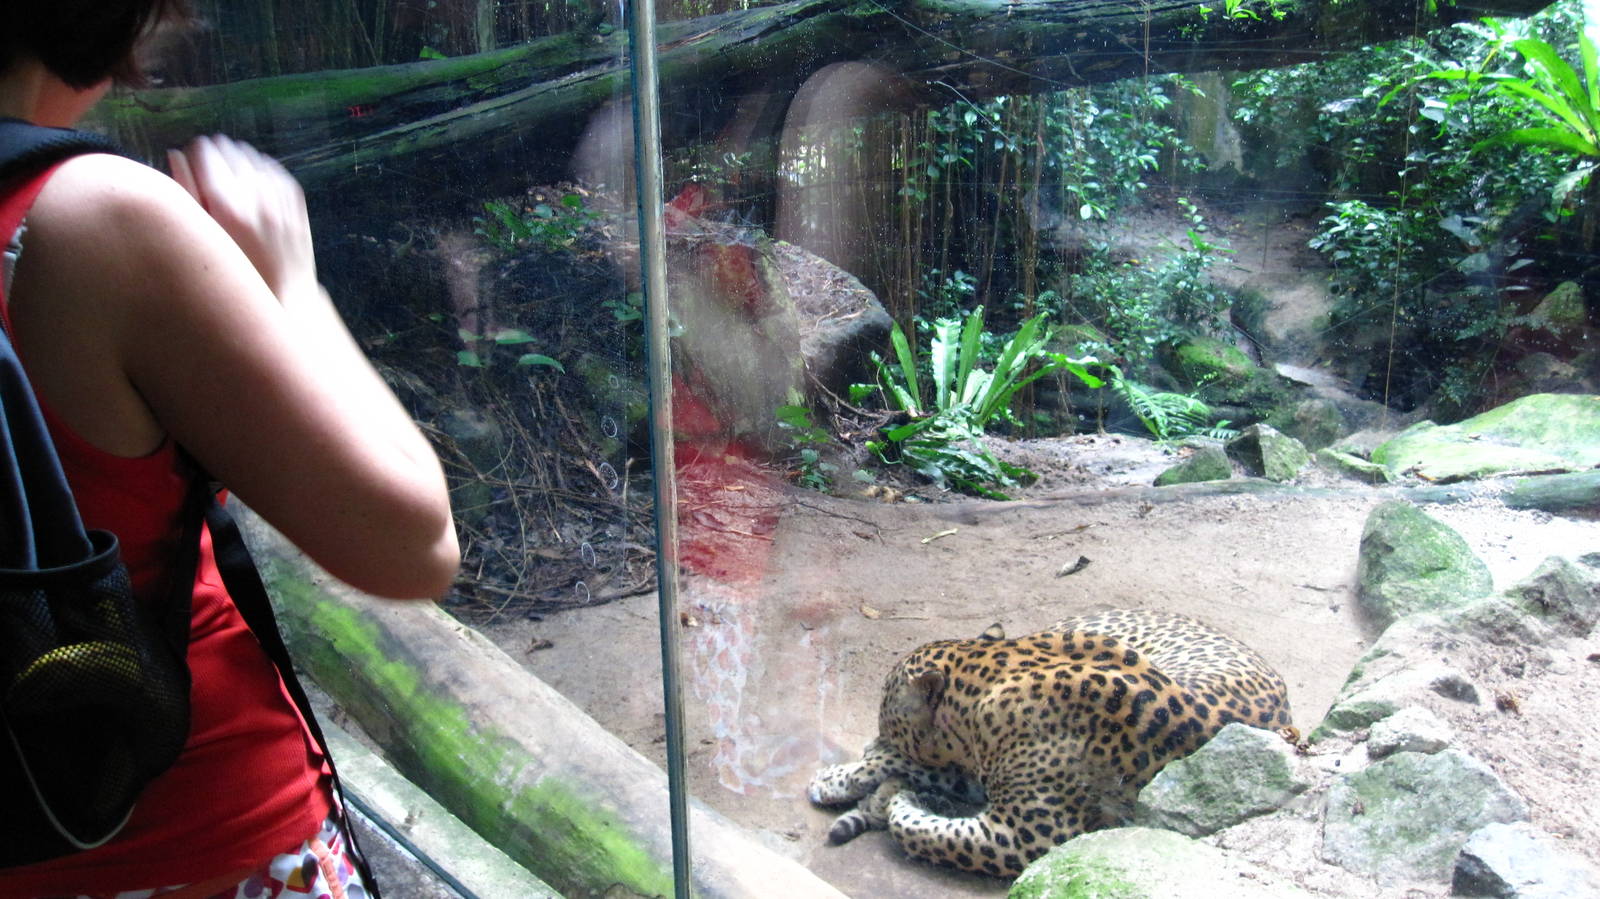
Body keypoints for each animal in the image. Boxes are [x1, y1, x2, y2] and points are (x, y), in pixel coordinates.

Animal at [807, 608, 1293, 878]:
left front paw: (894, 798)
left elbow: (926, 832)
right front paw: (856, 782)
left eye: (885, 711)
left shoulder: (1024, 835)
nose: (877, 736)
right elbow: (927, 772)